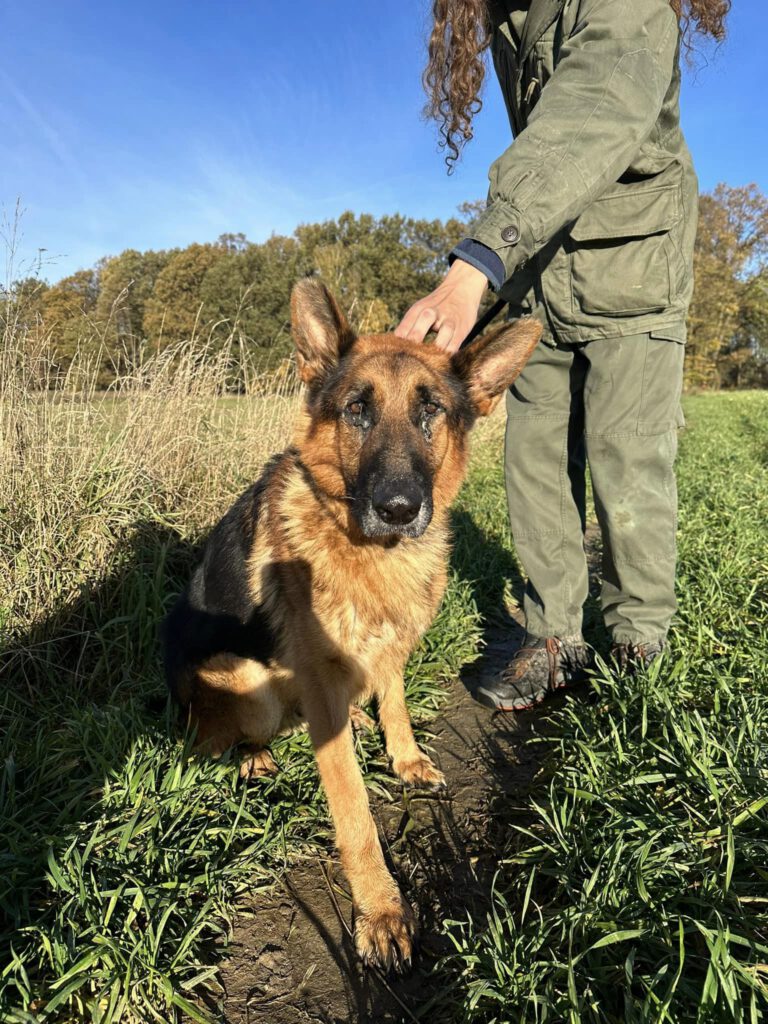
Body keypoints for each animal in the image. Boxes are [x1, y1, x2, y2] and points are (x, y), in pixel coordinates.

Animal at [165, 280, 544, 966]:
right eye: (357, 411)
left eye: (430, 411)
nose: (398, 508)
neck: (371, 552)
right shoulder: (321, 684)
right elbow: (354, 810)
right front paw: (381, 910)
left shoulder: (392, 645)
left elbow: (394, 699)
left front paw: (405, 755)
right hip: (247, 683)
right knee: (225, 738)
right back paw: (254, 758)